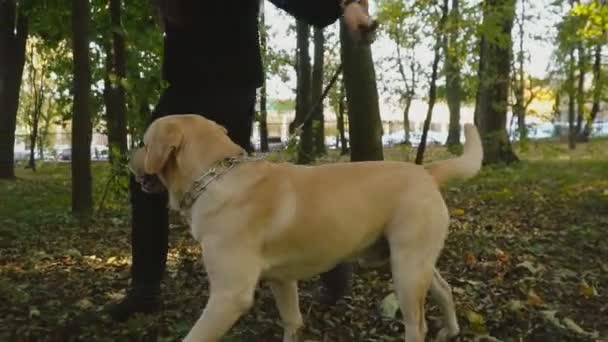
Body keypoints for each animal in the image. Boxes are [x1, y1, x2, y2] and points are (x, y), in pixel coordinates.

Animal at [131, 114, 482, 342]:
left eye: (144, 143)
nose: (128, 158)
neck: (216, 175)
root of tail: (426, 172)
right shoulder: (281, 281)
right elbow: (292, 321)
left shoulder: (229, 296)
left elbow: (194, 336)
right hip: (411, 261)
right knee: (444, 289)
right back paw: (451, 330)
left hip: (406, 269)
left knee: (417, 326)